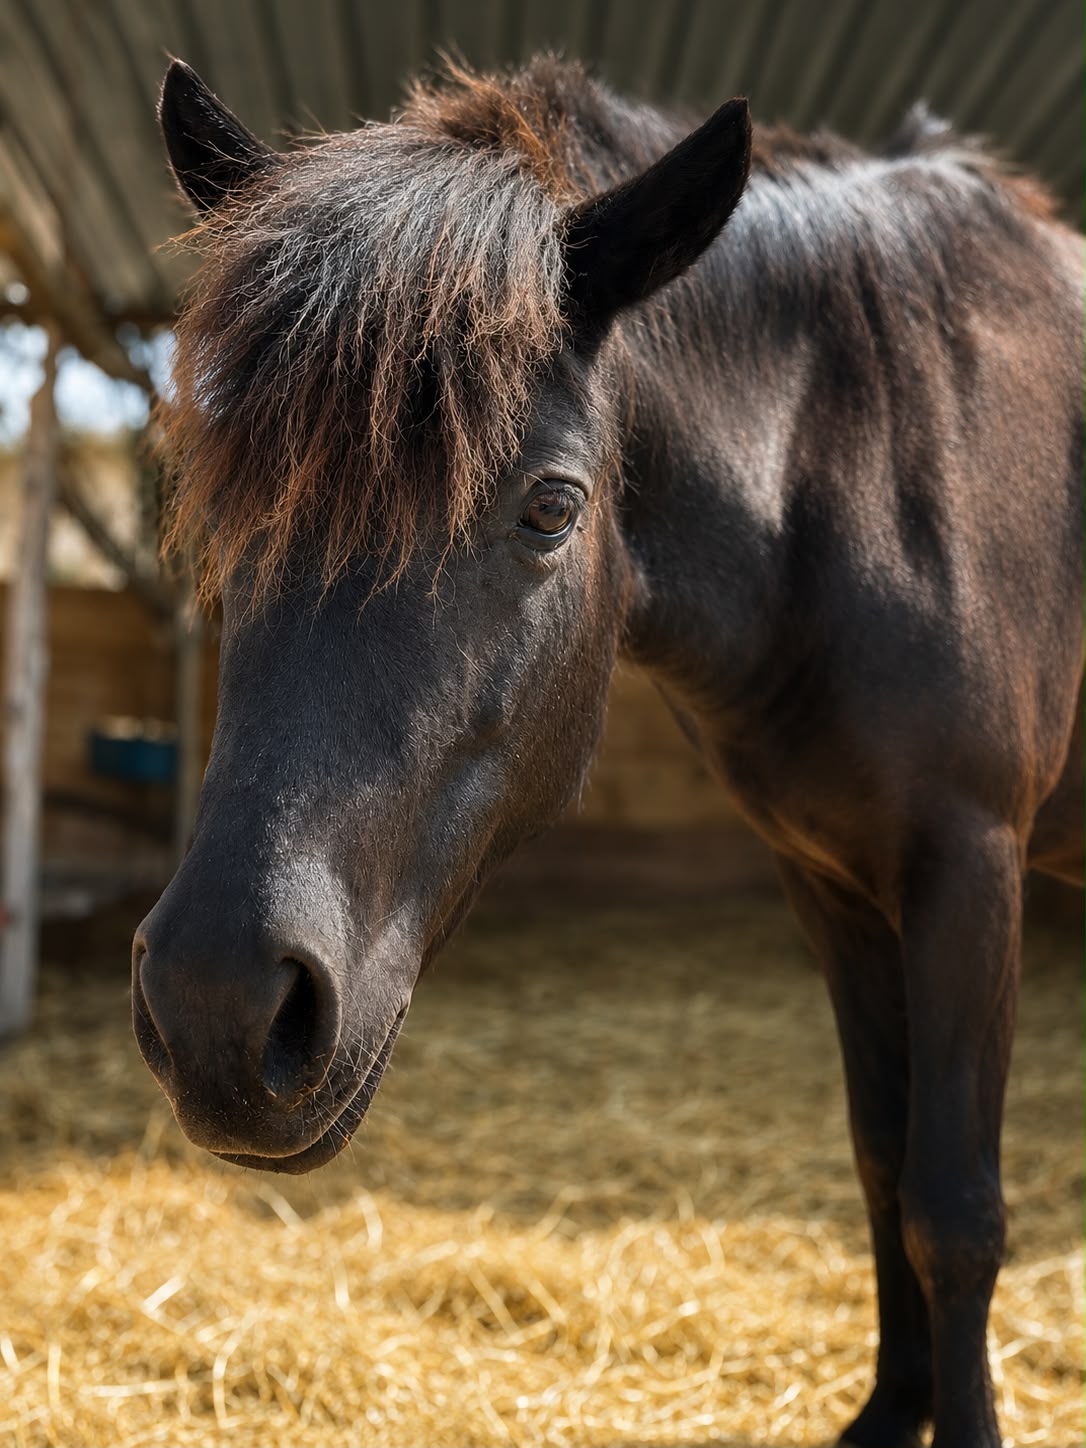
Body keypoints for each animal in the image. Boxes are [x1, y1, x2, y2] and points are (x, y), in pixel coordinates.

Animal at [136, 55, 1086, 1448]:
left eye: (552, 507)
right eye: (229, 494)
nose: (218, 1007)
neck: (867, 462)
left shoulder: (968, 865)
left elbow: (954, 1208)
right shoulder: (836, 881)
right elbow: (880, 1160)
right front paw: (886, 1414)